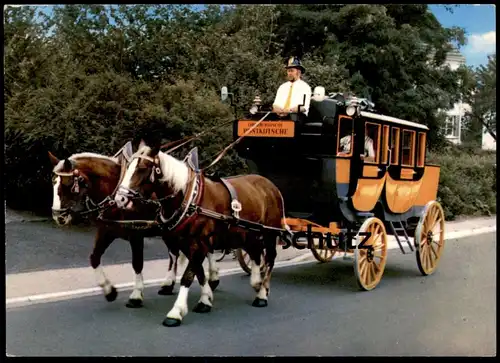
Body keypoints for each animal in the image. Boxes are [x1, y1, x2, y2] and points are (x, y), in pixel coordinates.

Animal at [48, 147, 221, 308]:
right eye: (53, 182)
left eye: (67, 184)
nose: (58, 216)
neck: (114, 192)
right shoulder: (106, 231)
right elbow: (94, 258)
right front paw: (109, 290)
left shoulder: (136, 234)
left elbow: (137, 263)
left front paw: (136, 295)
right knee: (175, 253)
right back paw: (170, 283)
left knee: (204, 250)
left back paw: (212, 278)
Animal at [112, 141, 286, 328]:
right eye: (128, 166)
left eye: (143, 168)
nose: (120, 199)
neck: (189, 198)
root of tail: (270, 185)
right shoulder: (185, 243)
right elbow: (199, 272)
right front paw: (206, 299)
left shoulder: (198, 243)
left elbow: (188, 276)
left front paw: (176, 312)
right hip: (249, 234)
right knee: (255, 254)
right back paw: (256, 282)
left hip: (269, 233)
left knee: (269, 259)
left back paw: (262, 293)